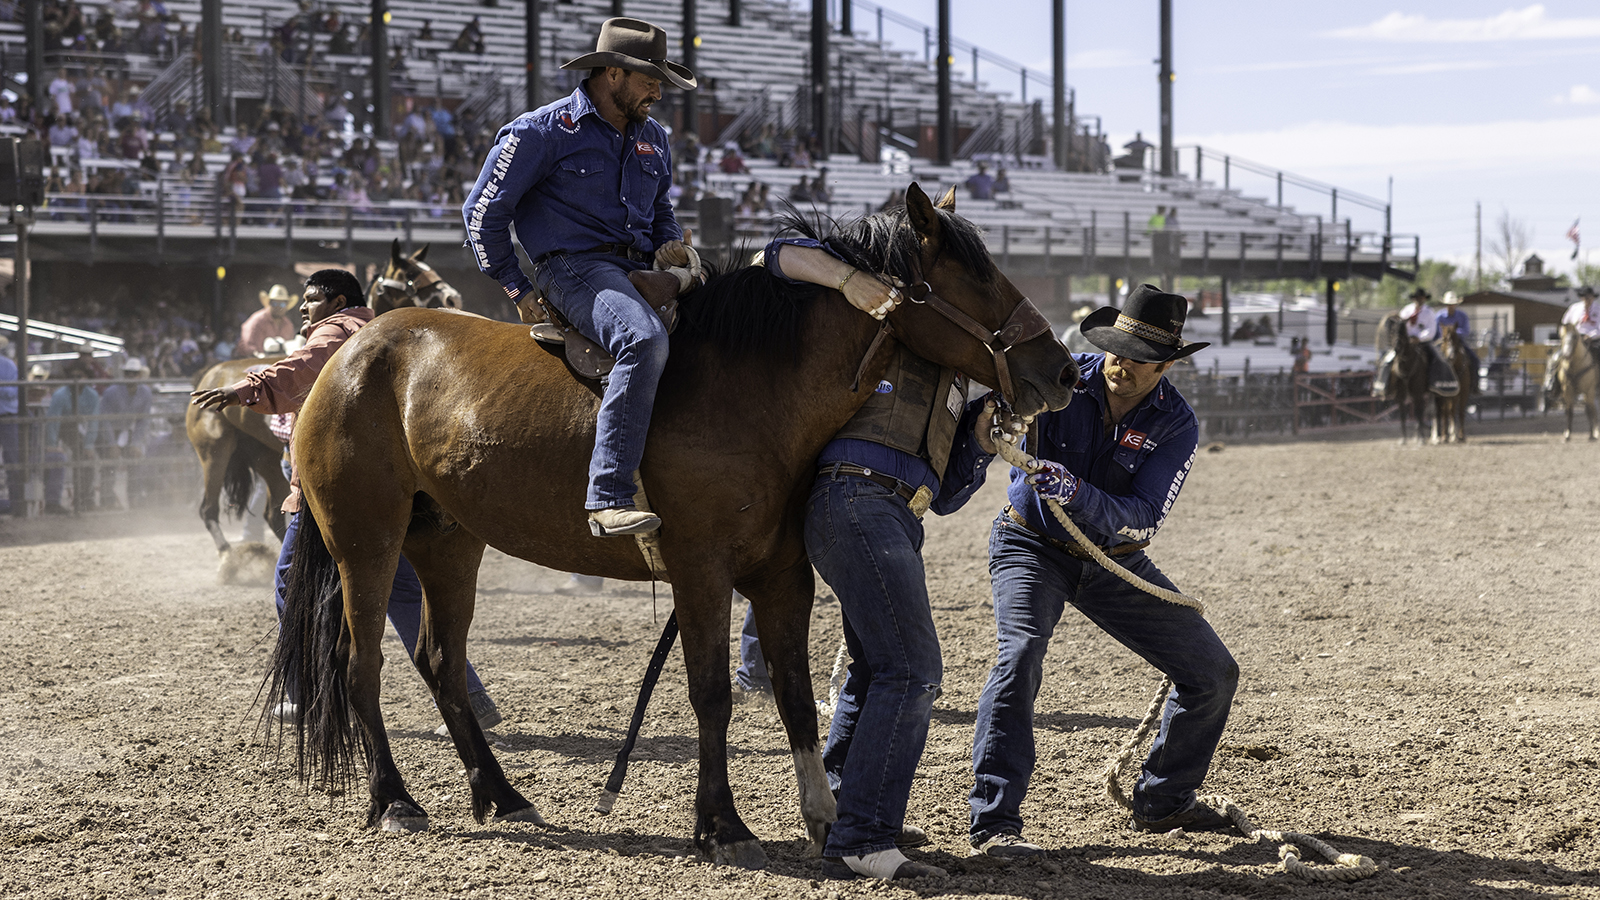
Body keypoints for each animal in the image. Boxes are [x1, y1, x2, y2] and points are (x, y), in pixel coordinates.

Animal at [188, 240, 464, 554]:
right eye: (410, 276)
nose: (453, 297)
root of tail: (209, 372)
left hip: (264, 457)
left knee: (271, 513)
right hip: (214, 451)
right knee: (208, 509)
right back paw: (228, 556)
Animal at [268, 182, 1081, 864]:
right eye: (975, 277)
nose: (1062, 370)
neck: (753, 387)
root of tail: (349, 353)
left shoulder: (784, 576)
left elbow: (793, 693)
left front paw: (824, 819)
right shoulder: (699, 569)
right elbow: (712, 690)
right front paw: (721, 824)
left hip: (448, 541)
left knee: (439, 660)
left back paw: (501, 795)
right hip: (365, 541)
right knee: (359, 664)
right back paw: (394, 800)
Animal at [1376, 312, 1427, 445]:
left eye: (1403, 331)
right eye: (1393, 331)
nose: (1397, 348)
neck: (1406, 367)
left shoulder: (1417, 392)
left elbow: (1419, 413)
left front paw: (1421, 438)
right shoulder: (1400, 394)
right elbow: (1403, 414)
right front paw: (1404, 439)